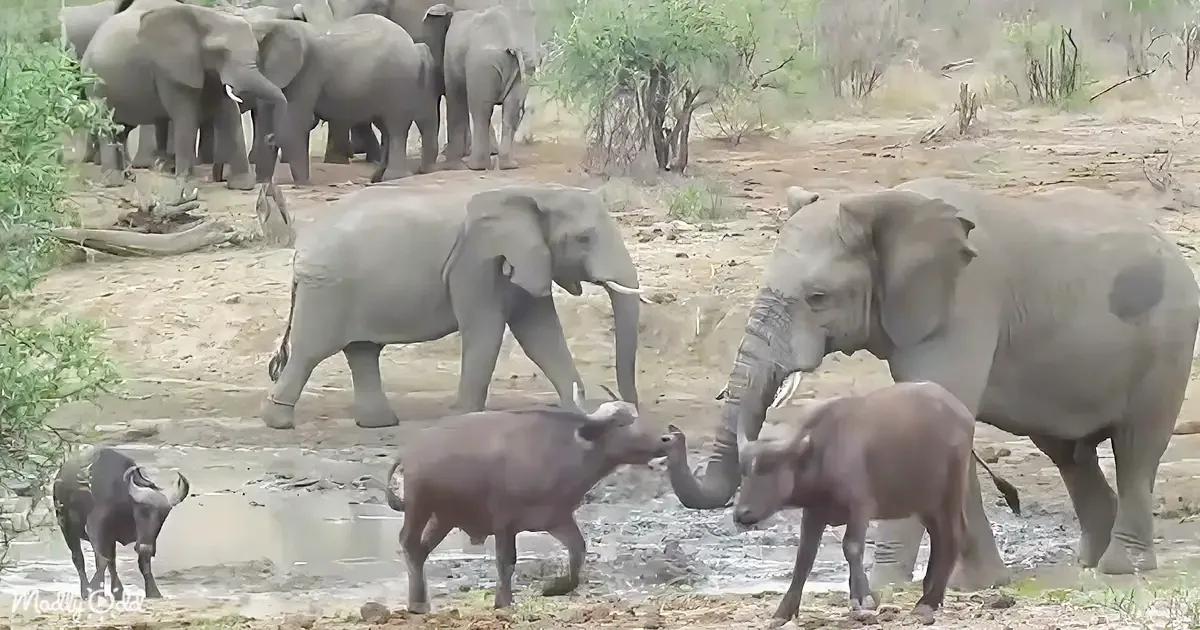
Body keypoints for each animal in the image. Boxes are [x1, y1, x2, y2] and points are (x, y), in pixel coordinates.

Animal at [82, 0, 302, 189]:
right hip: (94, 82)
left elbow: (229, 115)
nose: (271, 138)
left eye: (256, 52)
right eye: (220, 52)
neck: (207, 16)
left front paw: (242, 185)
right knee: (106, 122)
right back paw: (113, 180)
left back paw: (126, 175)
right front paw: (184, 183)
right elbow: (186, 115)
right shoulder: (171, 69)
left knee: (121, 127)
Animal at [247, 14, 440, 183]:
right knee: (387, 126)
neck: (270, 25)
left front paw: (302, 182)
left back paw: (393, 177)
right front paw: (264, 182)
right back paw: (379, 177)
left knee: (395, 126)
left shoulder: (308, 73)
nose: (270, 139)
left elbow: (297, 122)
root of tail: (413, 45)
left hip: (398, 80)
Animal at [260, 184, 644, 430]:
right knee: (312, 351)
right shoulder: (476, 264)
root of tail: (300, 249)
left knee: (362, 350)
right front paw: (462, 415)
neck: (537, 193)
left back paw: (379, 424)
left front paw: (576, 411)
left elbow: (540, 333)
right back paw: (278, 423)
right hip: (328, 290)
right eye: (583, 239)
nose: (632, 413)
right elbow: (487, 330)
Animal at [424, 3, 535, 171]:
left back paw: (474, 166)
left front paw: (450, 163)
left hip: (482, 65)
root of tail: (510, 43)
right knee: (511, 110)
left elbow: (455, 96)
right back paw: (509, 165)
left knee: (480, 111)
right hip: (525, 65)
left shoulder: (450, 55)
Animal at [665, 177, 1200, 589]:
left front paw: (883, 584)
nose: (670, 435)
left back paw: (1121, 567)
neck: (881, 202)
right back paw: (1088, 561)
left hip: (1169, 341)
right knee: (1069, 453)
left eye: (818, 298)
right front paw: (979, 585)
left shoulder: (964, 304)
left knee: (1137, 447)